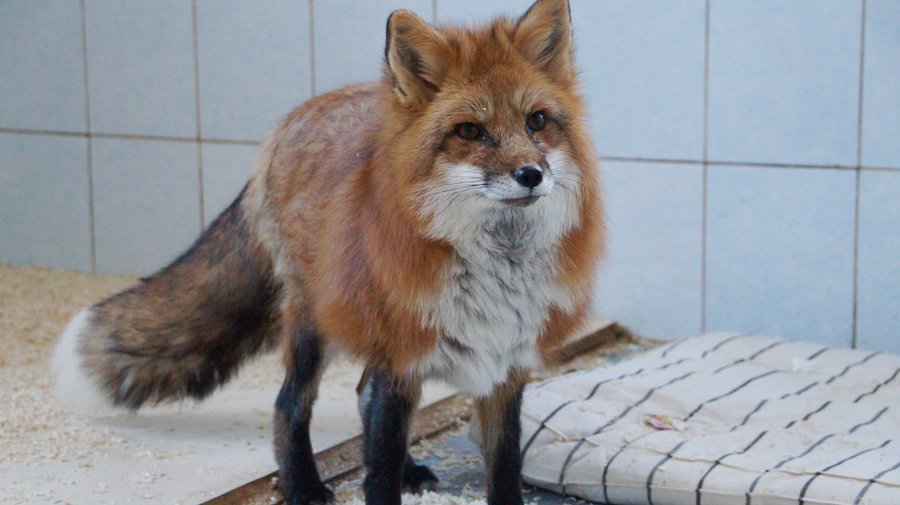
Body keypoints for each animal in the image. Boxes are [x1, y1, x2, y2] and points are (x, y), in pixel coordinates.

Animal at [51, 0, 603, 503]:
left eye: (536, 122)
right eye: (470, 131)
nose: (531, 174)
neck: (495, 270)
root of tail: (294, 118)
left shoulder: (503, 369)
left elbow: (504, 472)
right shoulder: (398, 361)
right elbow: (377, 475)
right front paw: (373, 480)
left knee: (359, 396)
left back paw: (407, 470)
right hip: (313, 326)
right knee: (289, 405)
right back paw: (303, 486)